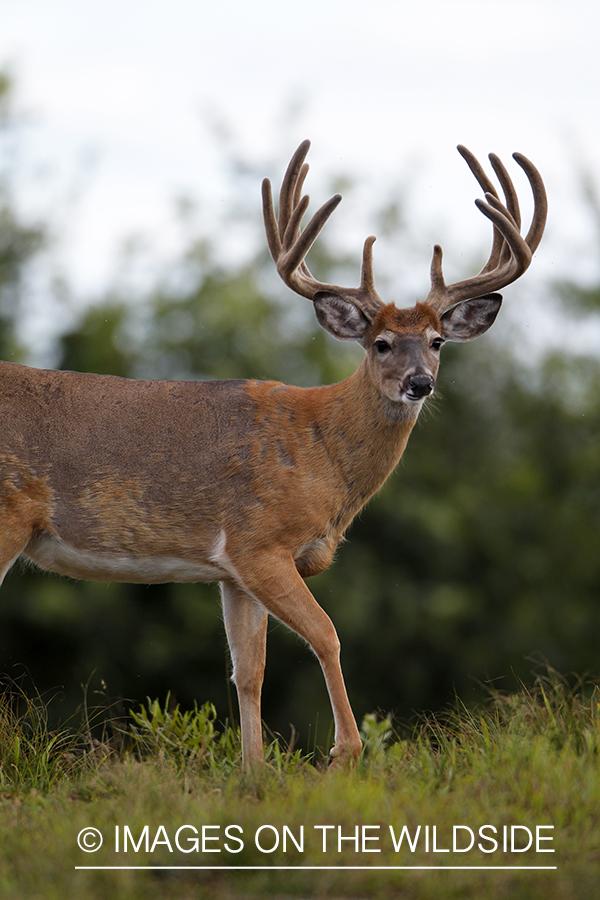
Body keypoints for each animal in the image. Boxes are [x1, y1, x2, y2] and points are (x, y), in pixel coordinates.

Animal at [0, 139, 544, 768]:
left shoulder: (233, 571)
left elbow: (248, 672)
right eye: (380, 343)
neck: (320, 448)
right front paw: (343, 754)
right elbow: (327, 634)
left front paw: (253, 772)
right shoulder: (260, 542)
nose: (419, 383)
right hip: (6, 519)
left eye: (437, 342)